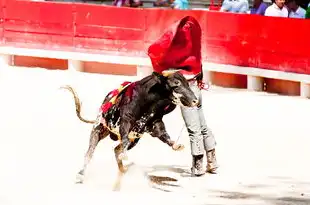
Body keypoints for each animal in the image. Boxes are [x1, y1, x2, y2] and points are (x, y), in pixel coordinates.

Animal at [62, 70, 199, 183]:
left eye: (188, 84)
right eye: (176, 84)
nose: (195, 101)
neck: (147, 101)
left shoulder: (155, 123)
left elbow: (163, 134)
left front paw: (176, 145)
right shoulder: (125, 122)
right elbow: (125, 137)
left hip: (135, 139)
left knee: (116, 149)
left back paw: (123, 169)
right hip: (98, 128)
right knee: (90, 153)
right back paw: (81, 174)